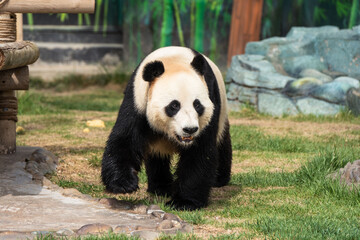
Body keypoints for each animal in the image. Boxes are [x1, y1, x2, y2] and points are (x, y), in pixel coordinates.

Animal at [102, 46, 231, 210]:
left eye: (197, 105)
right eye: (174, 105)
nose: (190, 129)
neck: (174, 61)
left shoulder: (211, 99)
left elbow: (200, 153)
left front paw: (184, 202)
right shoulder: (137, 101)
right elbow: (125, 139)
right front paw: (124, 184)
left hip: (222, 112)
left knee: (222, 143)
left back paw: (219, 179)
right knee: (157, 156)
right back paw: (161, 187)